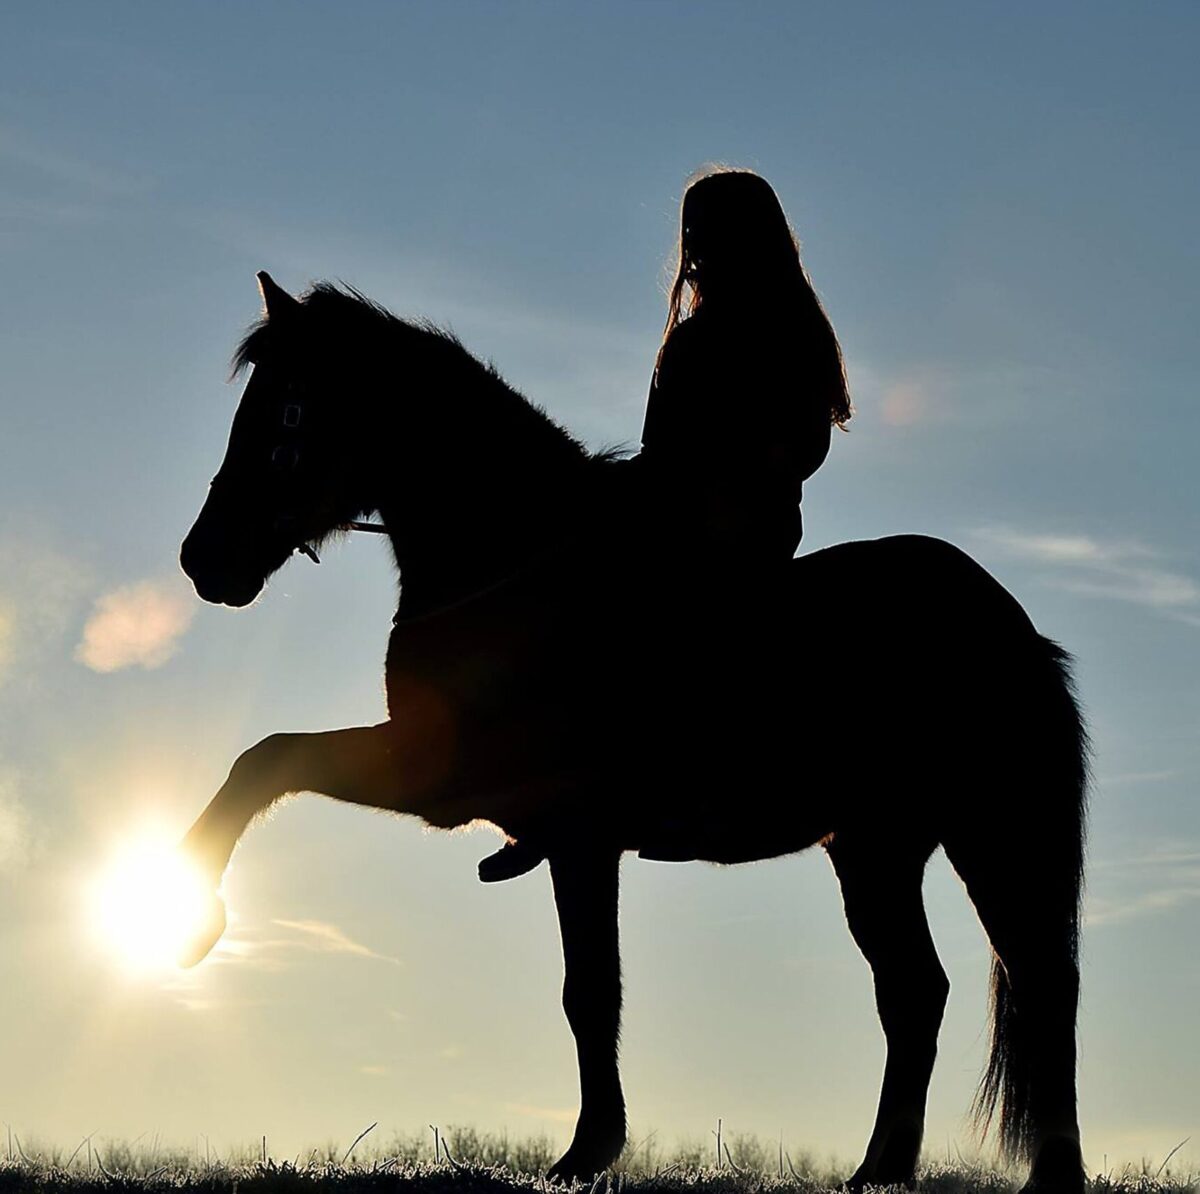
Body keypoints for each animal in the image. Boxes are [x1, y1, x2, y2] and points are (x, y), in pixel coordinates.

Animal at [177, 274, 1089, 1193]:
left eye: (290, 410)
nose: (202, 559)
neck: (513, 563)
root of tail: (1012, 624)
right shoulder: (478, 796)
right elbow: (267, 759)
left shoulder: (543, 822)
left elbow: (589, 991)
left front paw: (587, 1152)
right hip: (876, 847)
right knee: (914, 992)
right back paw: (881, 1169)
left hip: (992, 830)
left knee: (1041, 980)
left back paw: (1051, 1171)